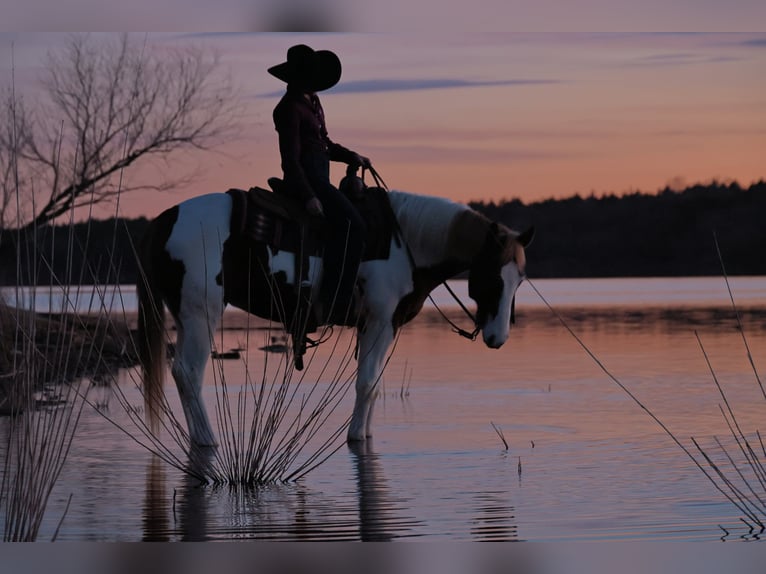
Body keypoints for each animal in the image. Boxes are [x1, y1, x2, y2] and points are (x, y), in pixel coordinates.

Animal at [136, 188, 534, 446]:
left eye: (520, 279)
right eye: (494, 278)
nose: (498, 338)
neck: (404, 241)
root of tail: (164, 220)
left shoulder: (381, 325)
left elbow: (373, 383)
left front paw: (367, 434)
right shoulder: (379, 320)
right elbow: (367, 383)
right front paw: (356, 436)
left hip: (185, 316)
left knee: (180, 373)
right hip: (201, 314)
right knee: (189, 372)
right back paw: (208, 440)